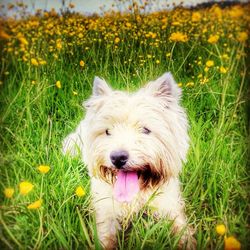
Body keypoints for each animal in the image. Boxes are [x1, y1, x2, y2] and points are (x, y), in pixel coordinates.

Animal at [62, 72, 195, 248]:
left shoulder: (169, 206)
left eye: (145, 130)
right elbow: (105, 238)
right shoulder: (106, 213)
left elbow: (182, 231)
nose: (117, 157)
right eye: (107, 131)